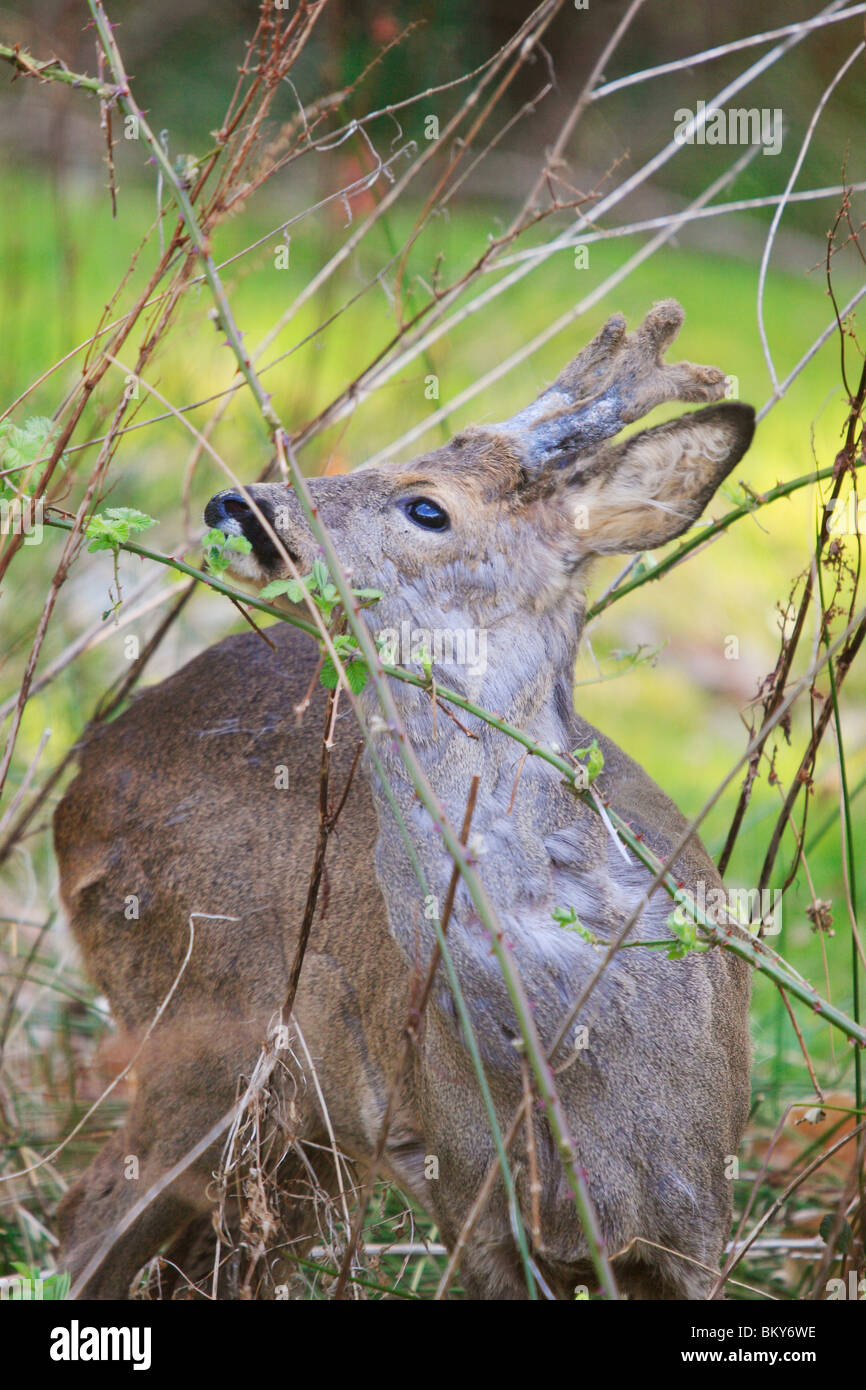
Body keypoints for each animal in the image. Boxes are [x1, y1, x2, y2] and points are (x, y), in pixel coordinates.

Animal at [55, 298, 750, 1295]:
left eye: (428, 506)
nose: (240, 505)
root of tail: (87, 763)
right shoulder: (472, 1198)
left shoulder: (696, 1215)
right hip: (194, 1024)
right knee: (89, 1217)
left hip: (303, 1136)